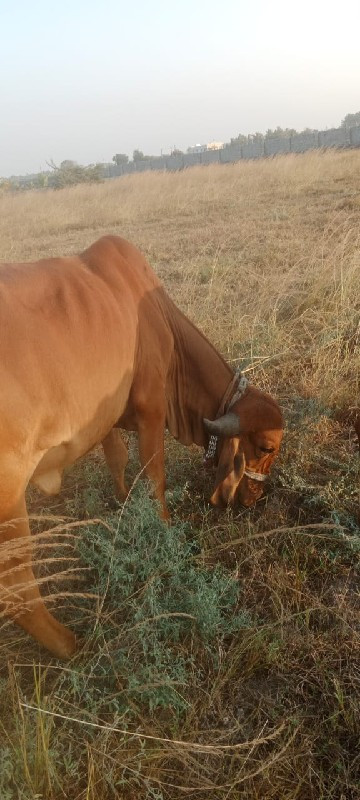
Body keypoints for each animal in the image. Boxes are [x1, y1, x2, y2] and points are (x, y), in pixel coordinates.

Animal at [0, 236, 284, 656]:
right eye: (266, 447)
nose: (254, 498)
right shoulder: (152, 410)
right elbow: (154, 479)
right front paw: (164, 534)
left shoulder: (105, 417)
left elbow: (118, 461)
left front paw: (122, 504)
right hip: (10, 498)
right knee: (16, 585)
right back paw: (71, 644)